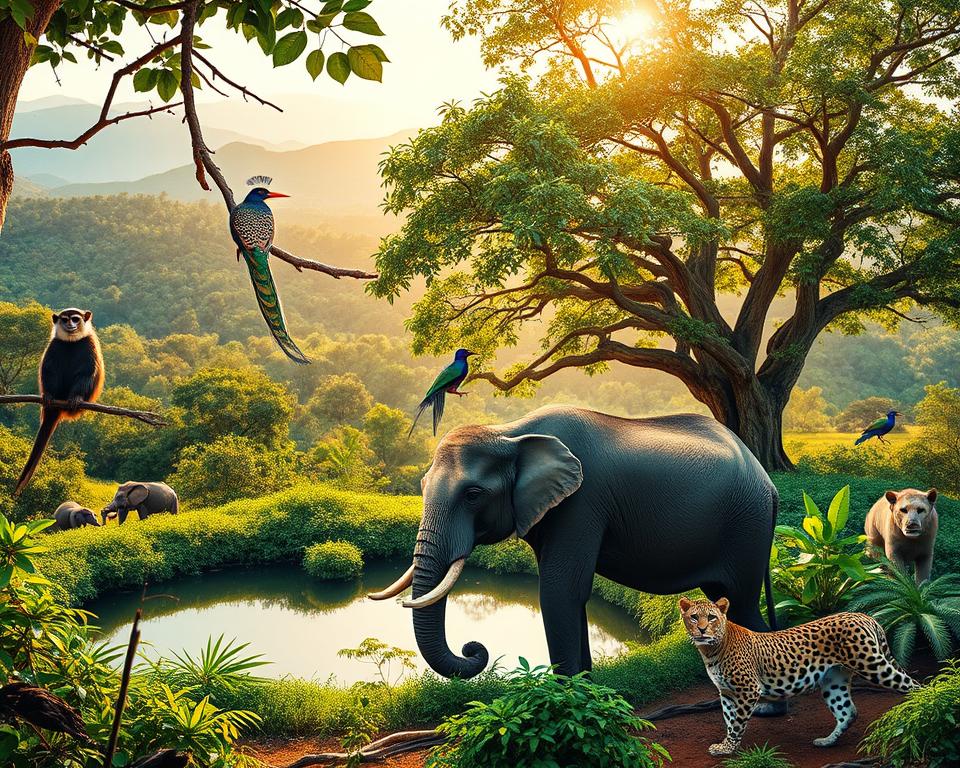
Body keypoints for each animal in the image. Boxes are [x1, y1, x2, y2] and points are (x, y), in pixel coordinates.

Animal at [13, 308, 104, 496]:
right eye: (64, 319)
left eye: (75, 319)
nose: (71, 325)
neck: (71, 342)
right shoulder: (54, 345)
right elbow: (49, 370)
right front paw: (48, 394)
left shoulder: (89, 344)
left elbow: (86, 372)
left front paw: (76, 397)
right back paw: (51, 399)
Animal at [370, 405, 778, 680]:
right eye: (422, 486)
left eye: (472, 495)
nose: (475, 648)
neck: (511, 433)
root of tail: (769, 483)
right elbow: (569, 593)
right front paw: (588, 687)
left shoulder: (582, 503)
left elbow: (560, 591)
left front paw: (568, 697)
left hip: (747, 526)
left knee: (741, 602)